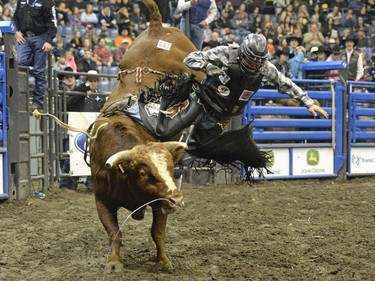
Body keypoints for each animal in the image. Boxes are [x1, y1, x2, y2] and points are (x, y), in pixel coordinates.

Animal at [90, 0, 204, 274]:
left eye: (171, 168)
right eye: (143, 172)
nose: (177, 199)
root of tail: (156, 26)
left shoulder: (160, 201)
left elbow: (157, 232)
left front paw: (163, 261)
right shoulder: (101, 200)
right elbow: (114, 233)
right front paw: (114, 263)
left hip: (195, 64)